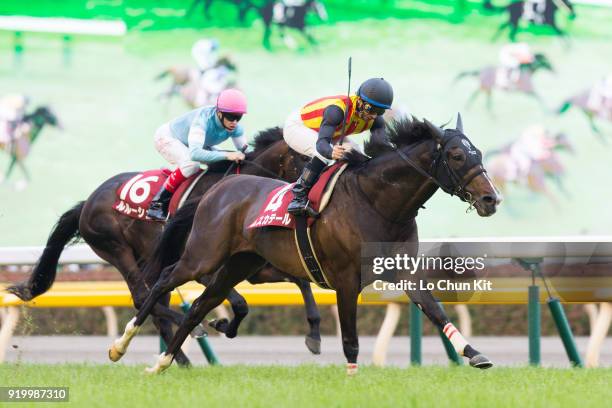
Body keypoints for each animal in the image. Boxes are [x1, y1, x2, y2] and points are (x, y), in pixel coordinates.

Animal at [8, 127, 326, 364]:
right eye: (303, 157)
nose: (310, 190)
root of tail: (87, 202)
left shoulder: (257, 268)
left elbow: (301, 281)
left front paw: (313, 334)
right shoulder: (204, 267)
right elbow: (238, 303)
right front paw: (219, 324)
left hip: (146, 257)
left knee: (154, 302)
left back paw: (182, 360)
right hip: (117, 249)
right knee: (142, 297)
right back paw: (190, 333)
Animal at [110, 114, 502, 372]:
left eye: (479, 153)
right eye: (456, 155)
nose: (491, 199)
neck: (378, 203)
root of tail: (217, 189)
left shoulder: (402, 271)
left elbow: (435, 310)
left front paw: (474, 353)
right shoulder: (346, 280)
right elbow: (350, 337)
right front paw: (351, 377)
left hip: (237, 264)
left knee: (200, 306)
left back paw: (163, 362)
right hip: (203, 256)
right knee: (163, 281)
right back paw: (120, 346)